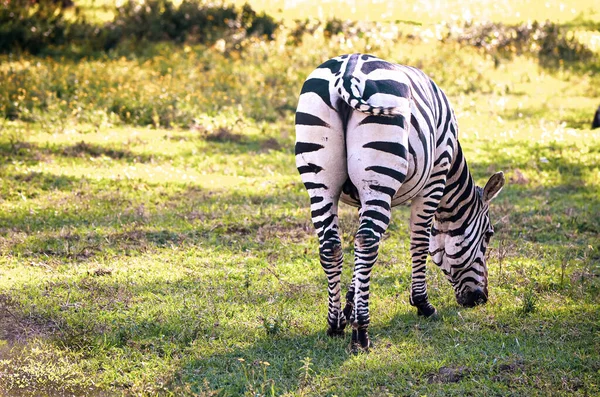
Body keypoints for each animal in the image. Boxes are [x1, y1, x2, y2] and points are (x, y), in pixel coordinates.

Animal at [296, 53, 506, 350]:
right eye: (488, 235)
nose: (481, 299)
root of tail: (348, 71)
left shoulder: (361, 197)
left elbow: (358, 256)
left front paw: (349, 306)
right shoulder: (434, 180)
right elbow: (420, 242)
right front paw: (422, 304)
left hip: (320, 181)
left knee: (333, 245)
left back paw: (334, 325)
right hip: (380, 174)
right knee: (368, 241)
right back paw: (362, 333)